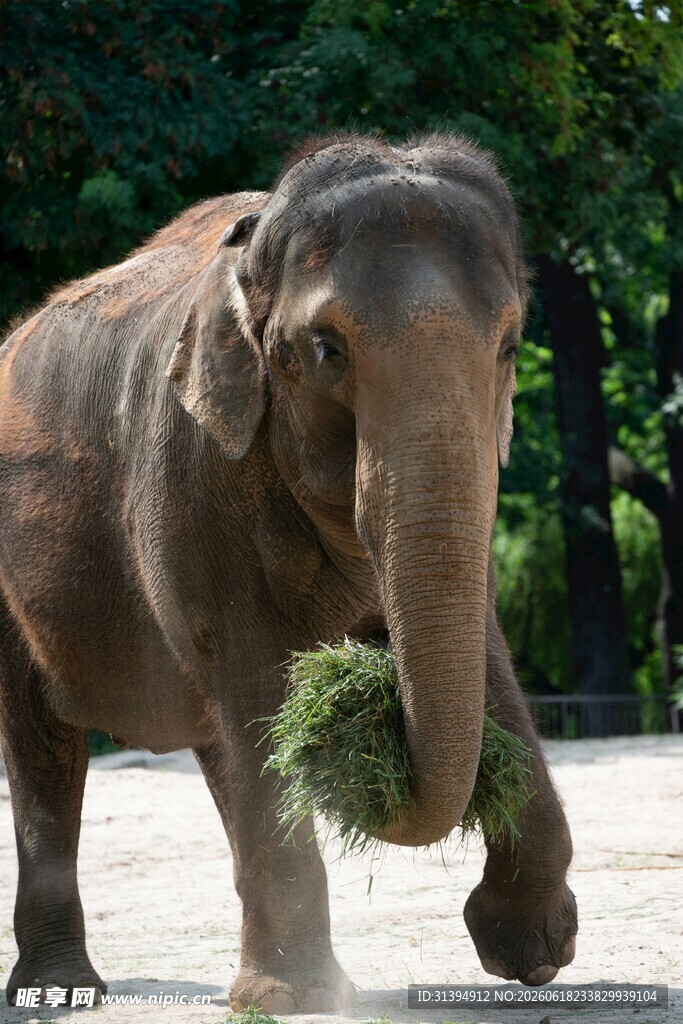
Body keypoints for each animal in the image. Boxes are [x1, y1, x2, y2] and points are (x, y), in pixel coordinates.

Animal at [0, 131, 577, 1012]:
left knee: (218, 744)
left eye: (510, 346)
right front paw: (288, 1000)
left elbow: (483, 649)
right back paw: (64, 989)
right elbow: (252, 671)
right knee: (46, 748)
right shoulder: (188, 474)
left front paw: (531, 951)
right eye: (326, 350)